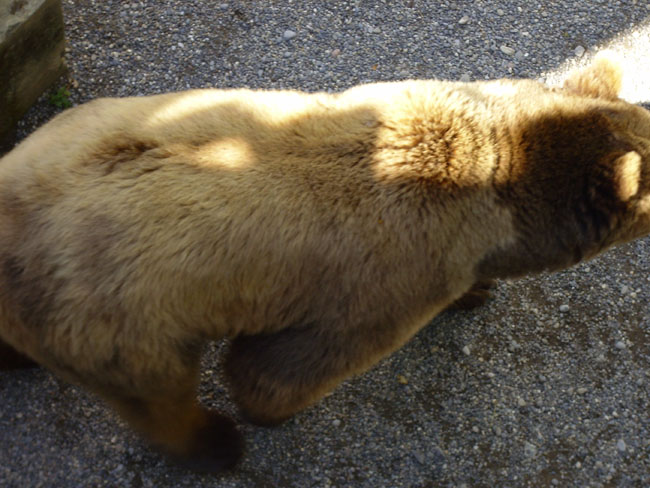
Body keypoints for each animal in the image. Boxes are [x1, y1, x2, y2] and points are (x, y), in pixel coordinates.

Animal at [0, 54, 649, 472]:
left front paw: (478, 292)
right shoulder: (390, 274)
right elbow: (285, 365)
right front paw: (267, 412)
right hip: (117, 322)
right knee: (160, 398)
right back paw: (216, 446)